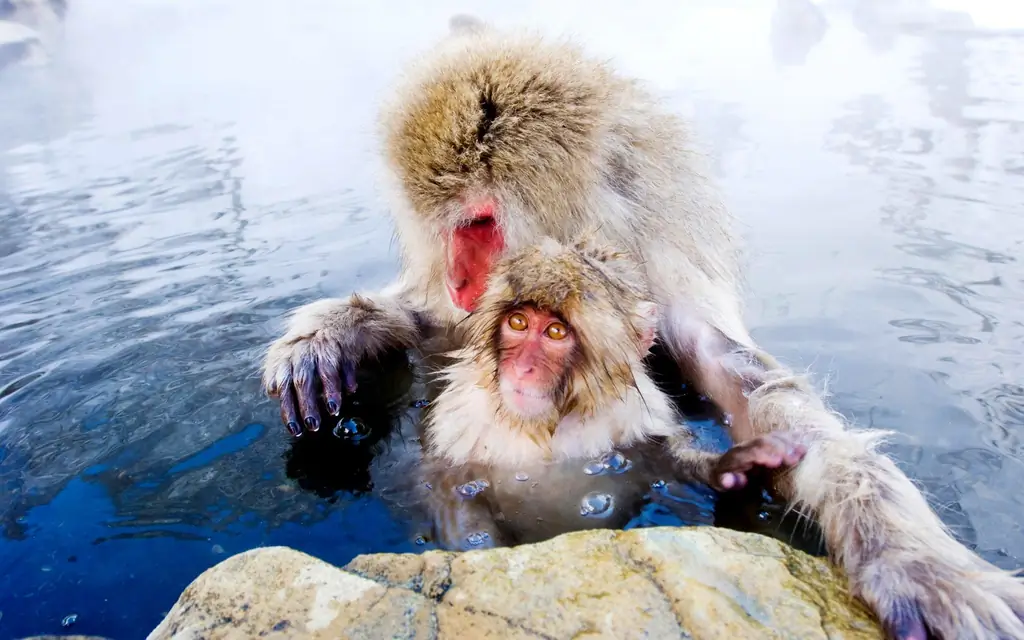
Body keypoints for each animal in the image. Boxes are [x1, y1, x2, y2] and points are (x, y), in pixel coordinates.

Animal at [260, 16, 1024, 640]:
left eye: (480, 225)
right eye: (441, 224)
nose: (458, 279)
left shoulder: (673, 291)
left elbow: (764, 395)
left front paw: (918, 565)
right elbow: (430, 332)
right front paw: (325, 340)